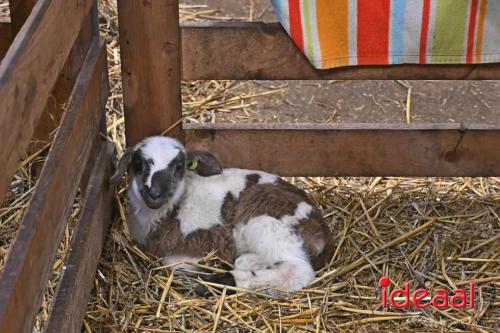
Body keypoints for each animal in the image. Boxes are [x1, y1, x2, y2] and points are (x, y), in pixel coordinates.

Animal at [111, 136, 334, 294]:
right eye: (138, 163)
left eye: (179, 166)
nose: (155, 193)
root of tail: (321, 230)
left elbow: (178, 265)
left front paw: (206, 266)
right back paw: (247, 262)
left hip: (267, 225)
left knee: (296, 271)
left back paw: (219, 282)